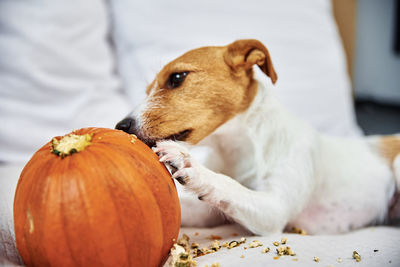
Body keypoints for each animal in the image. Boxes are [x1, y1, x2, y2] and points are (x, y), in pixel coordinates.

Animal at [115, 39, 400, 234]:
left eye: (177, 78)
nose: (120, 126)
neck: (239, 151)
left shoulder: (274, 208)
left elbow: (229, 184)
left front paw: (192, 165)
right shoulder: (212, 214)